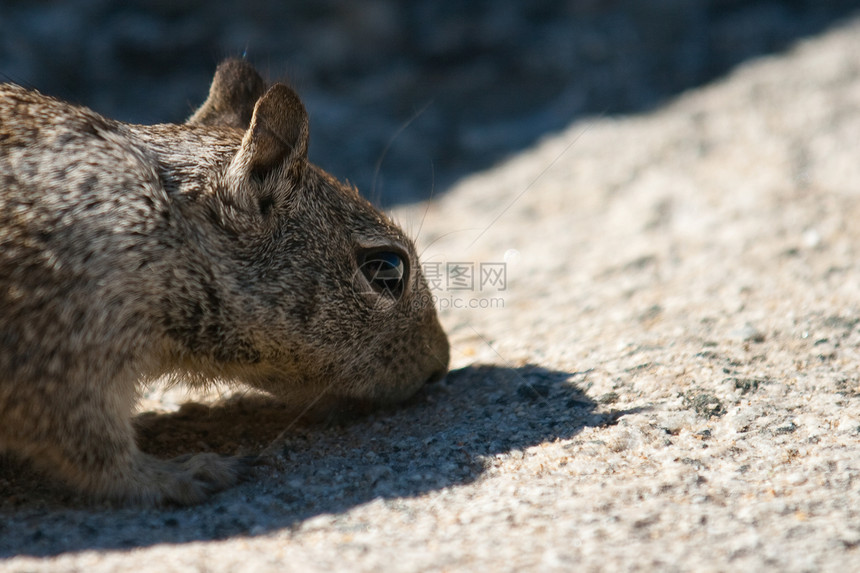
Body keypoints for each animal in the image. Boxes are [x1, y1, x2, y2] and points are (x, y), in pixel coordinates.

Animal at [0, 59, 454, 504]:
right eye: (387, 270)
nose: (441, 364)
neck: (168, 231)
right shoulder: (60, 356)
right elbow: (92, 450)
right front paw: (178, 474)